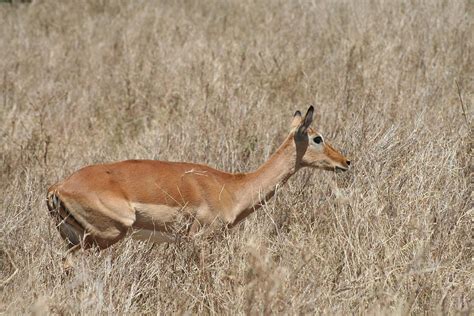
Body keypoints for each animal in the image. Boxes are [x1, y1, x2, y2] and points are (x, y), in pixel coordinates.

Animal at [46, 105, 350, 256]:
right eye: (317, 137)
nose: (346, 162)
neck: (233, 187)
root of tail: (58, 187)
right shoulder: (199, 240)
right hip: (103, 238)